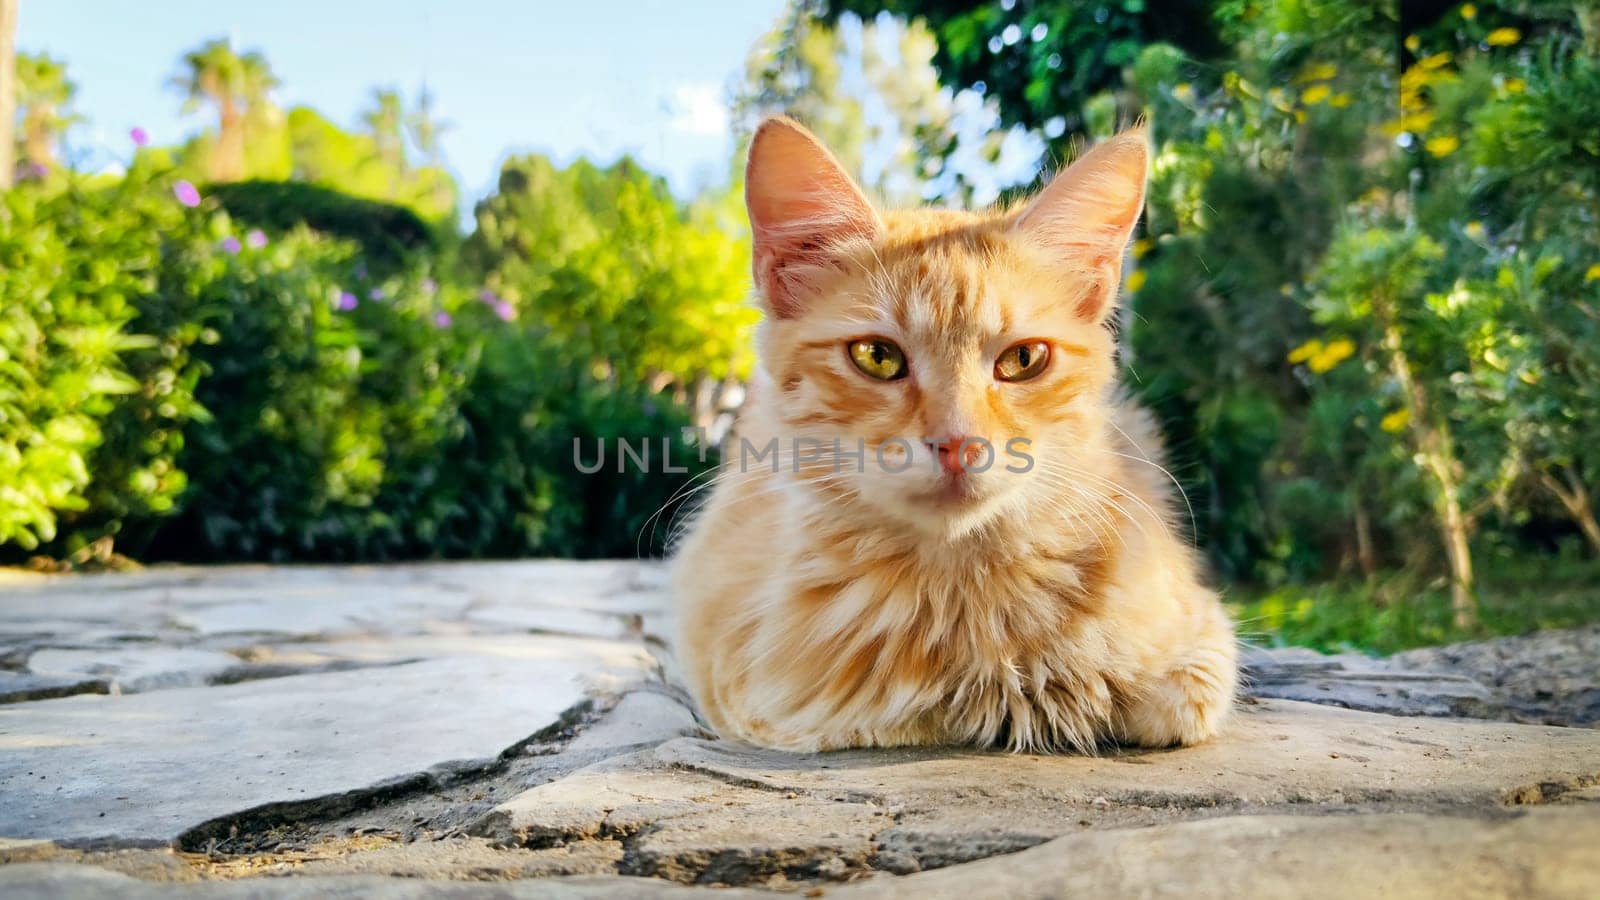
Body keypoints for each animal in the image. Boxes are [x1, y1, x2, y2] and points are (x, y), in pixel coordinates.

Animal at [665, 117, 1235, 749]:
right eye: (878, 357)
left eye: (1023, 360)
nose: (959, 443)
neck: (963, 600)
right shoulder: (739, 681)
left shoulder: (1205, 643)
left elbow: (1162, 701)